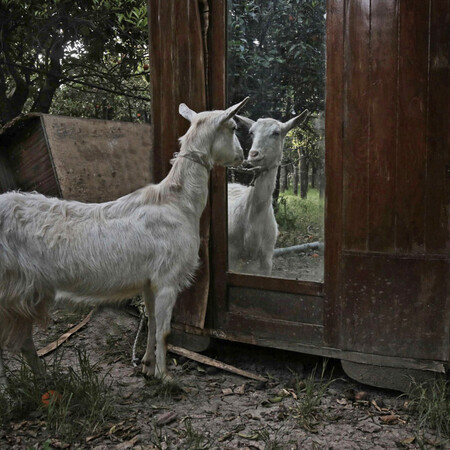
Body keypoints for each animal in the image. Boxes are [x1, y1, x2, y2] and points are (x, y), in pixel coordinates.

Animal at [0, 97, 250, 384]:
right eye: (233, 127)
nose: (242, 156)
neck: (178, 202)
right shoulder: (167, 278)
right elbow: (164, 332)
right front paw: (166, 378)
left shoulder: (149, 281)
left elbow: (152, 325)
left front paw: (148, 366)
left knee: (25, 341)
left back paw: (44, 379)